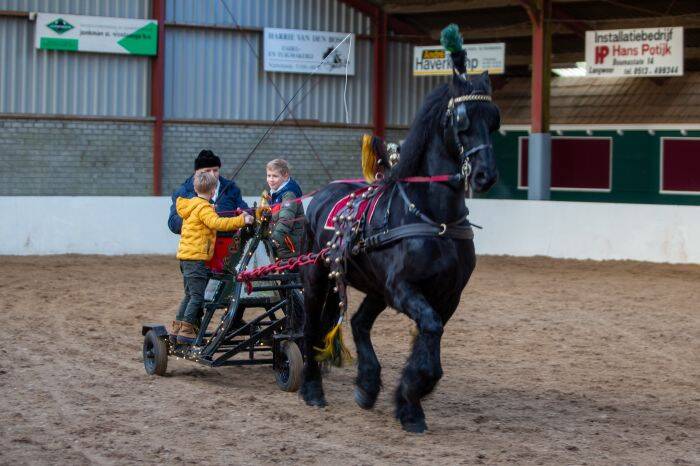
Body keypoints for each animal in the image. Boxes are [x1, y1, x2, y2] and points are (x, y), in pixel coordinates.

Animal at [298, 34, 500, 432]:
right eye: (462, 119)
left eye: (494, 119)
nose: (486, 175)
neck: (433, 217)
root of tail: (321, 194)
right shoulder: (403, 287)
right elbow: (429, 334)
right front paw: (410, 395)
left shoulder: (446, 295)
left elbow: (429, 340)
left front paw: (409, 401)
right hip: (319, 277)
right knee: (311, 327)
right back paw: (312, 389)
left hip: (375, 287)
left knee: (358, 323)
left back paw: (367, 384)